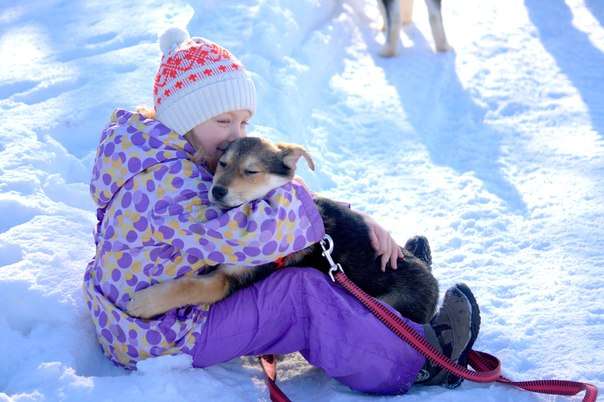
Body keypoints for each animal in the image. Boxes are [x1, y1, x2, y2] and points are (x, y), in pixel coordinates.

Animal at [127, 137, 438, 326]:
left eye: (251, 171)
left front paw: (145, 302)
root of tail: (432, 280)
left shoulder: (231, 279)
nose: (217, 191)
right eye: (223, 163)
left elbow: (190, 286)